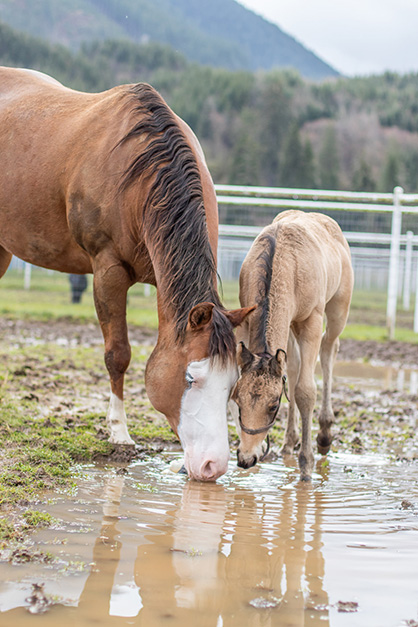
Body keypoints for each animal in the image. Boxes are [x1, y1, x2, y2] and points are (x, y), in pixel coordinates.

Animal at [0, 67, 251, 480]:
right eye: (190, 378)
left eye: (232, 382)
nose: (211, 466)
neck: (140, 177)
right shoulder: (108, 272)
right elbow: (118, 354)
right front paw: (119, 433)